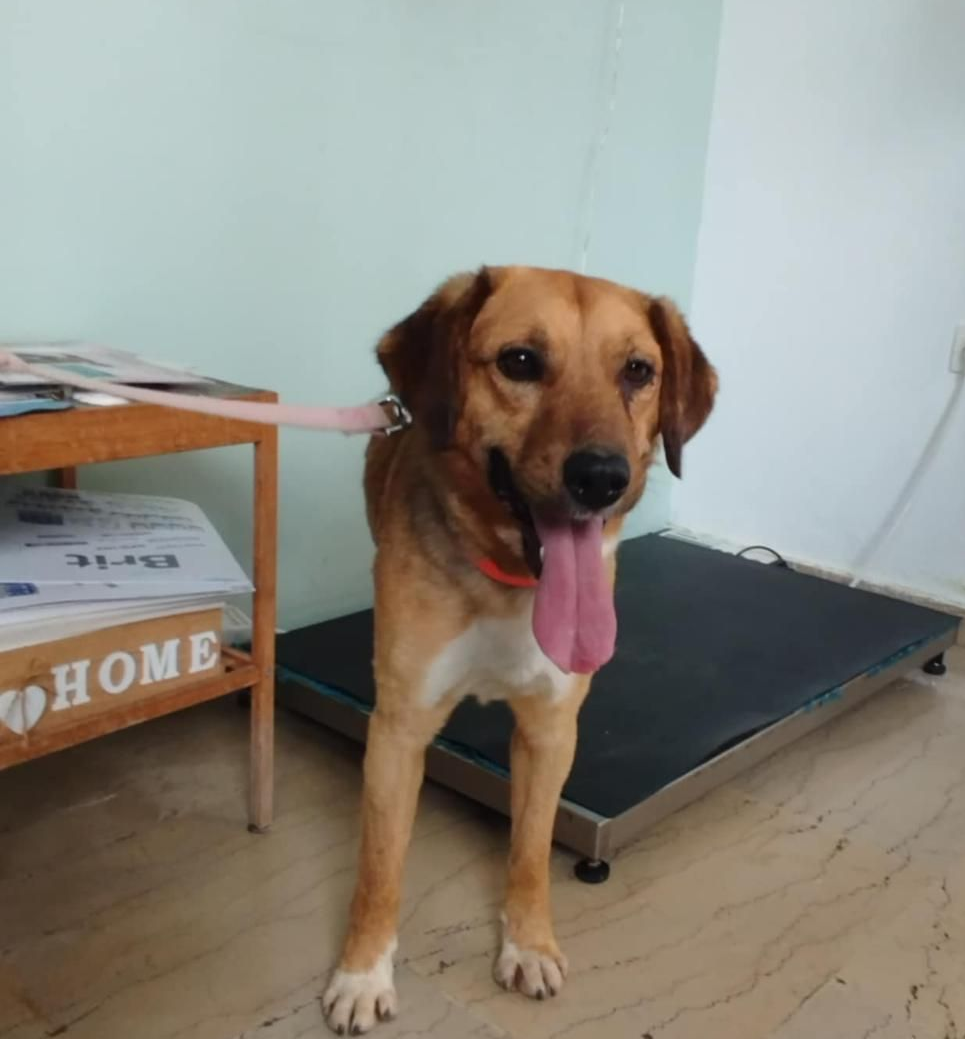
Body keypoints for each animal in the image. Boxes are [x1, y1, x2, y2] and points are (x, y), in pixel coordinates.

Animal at [322, 265, 716, 1034]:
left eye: (638, 371)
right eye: (521, 361)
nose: (602, 477)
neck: (507, 582)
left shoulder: (550, 730)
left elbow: (531, 850)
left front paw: (528, 943)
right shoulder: (399, 733)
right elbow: (379, 870)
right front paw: (361, 971)